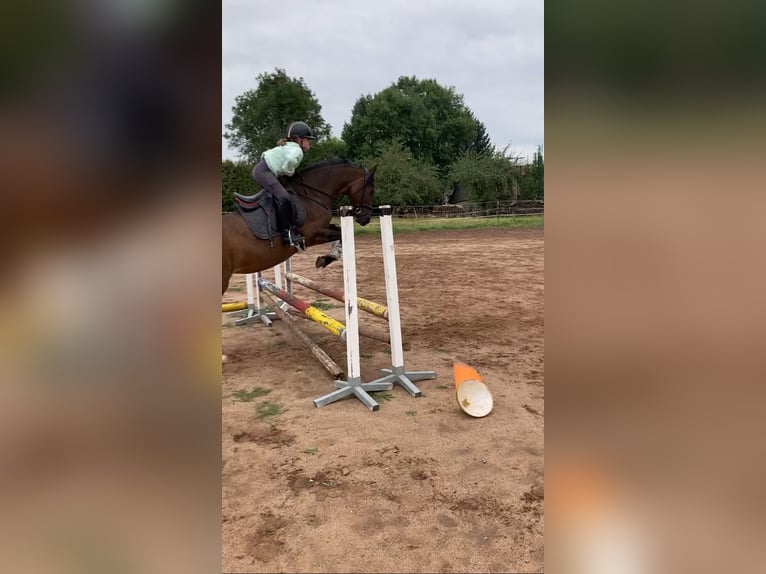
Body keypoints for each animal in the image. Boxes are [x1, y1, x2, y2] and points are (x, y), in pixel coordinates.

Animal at [222, 159, 378, 296]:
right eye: (371, 190)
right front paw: (325, 259)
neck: (312, 195)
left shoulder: (324, 228)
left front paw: (327, 258)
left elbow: (339, 233)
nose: (366, 219)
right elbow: (339, 234)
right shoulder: (313, 235)